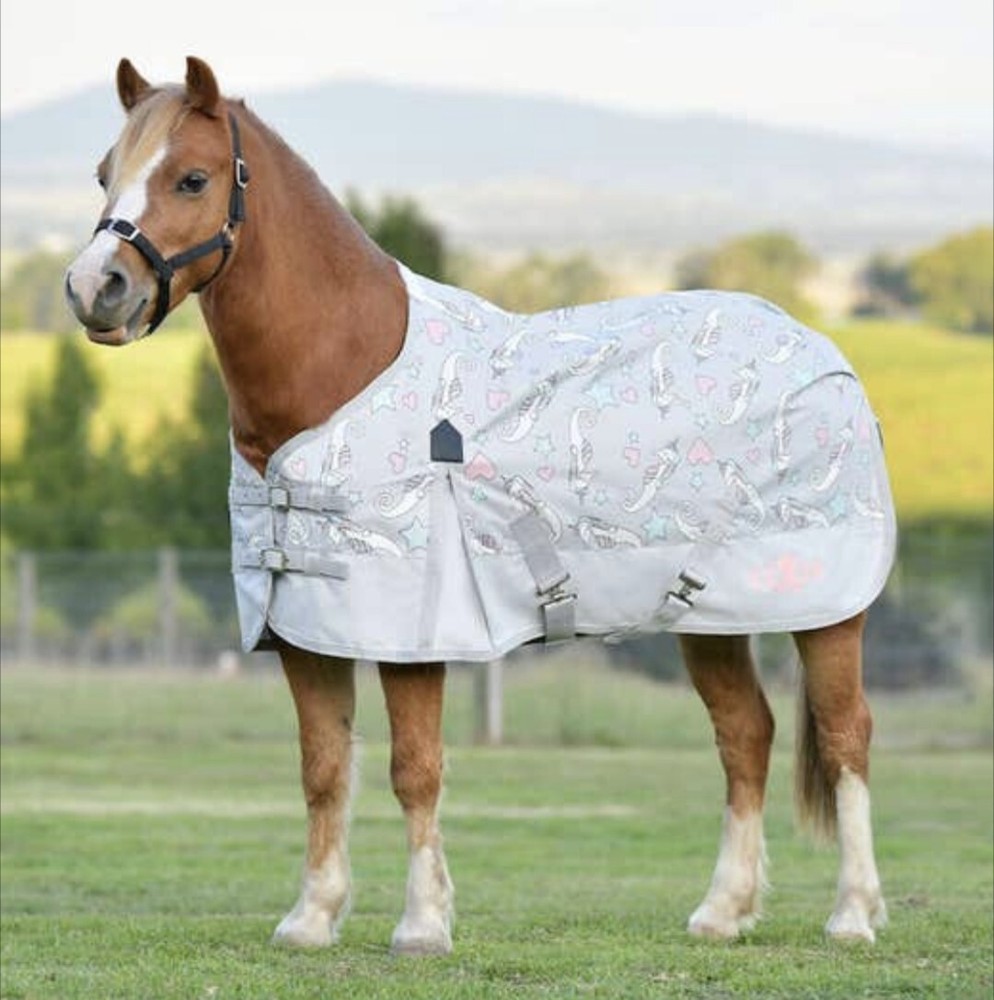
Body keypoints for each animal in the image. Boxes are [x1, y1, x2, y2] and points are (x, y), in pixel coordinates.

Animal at [65, 57, 894, 955]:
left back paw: (853, 913)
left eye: (192, 177)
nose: (95, 288)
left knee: (845, 736)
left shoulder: (410, 633)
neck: (343, 365)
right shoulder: (306, 629)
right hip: (708, 618)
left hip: (826, 612)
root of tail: (820, 349)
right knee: (745, 735)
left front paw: (423, 924)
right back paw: (722, 911)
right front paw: (312, 917)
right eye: (105, 172)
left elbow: (415, 768)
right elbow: (324, 768)